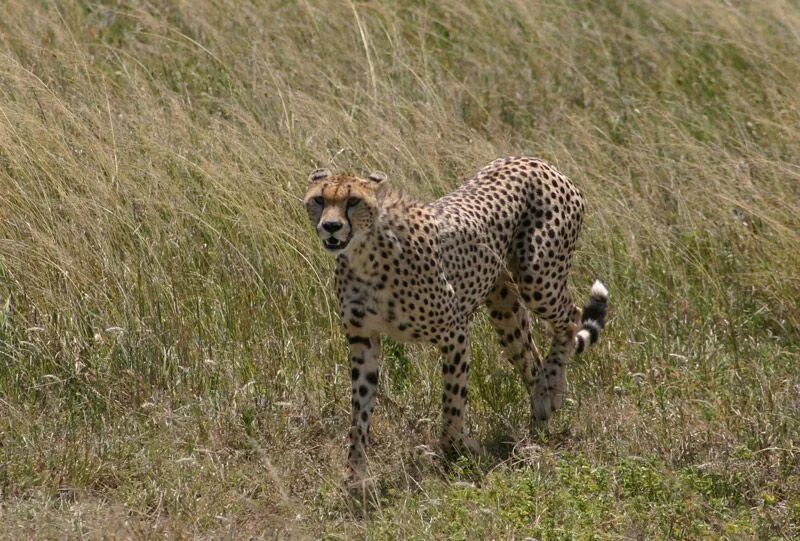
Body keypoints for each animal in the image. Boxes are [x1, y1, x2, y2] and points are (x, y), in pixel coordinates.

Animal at [304, 155, 608, 480]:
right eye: (319, 199)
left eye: (353, 201)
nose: (331, 226)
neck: (364, 254)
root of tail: (536, 161)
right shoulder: (363, 340)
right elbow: (359, 411)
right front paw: (356, 473)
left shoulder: (455, 332)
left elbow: (453, 402)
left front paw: (459, 450)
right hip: (505, 308)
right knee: (531, 358)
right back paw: (539, 415)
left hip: (537, 280)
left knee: (572, 316)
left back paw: (553, 392)